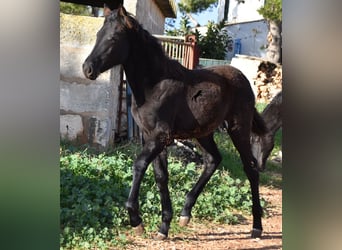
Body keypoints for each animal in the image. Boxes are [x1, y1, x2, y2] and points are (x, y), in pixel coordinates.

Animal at [83, 5, 270, 240]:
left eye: (114, 37)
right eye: (98, 34)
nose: (87, 69)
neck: (153, 85)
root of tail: (243, 79)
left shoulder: (160, 136)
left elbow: (139, 165)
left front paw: (136, 221)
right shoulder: (149, 136)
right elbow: (161, 176)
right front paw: (164, 226)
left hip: (238, 128)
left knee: (250, 168)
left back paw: (257, 226)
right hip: (203, 132)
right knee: (213, 159)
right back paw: (185, 213)